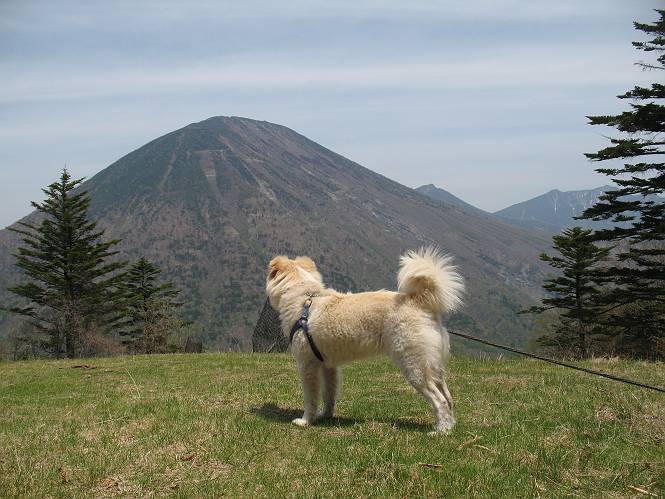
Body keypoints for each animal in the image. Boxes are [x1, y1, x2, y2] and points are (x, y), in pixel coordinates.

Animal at [265, 247, 464, 434]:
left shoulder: (307, 365)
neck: (305, 299)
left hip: (414, 368)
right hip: (433, 367)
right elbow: (329, 394)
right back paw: (449, 426)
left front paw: (306, 421)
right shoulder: (328, 366)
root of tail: (419, 301)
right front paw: (326, 415)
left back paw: (440, 431)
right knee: (448, 398)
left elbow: (310, 398)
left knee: (440, 401)